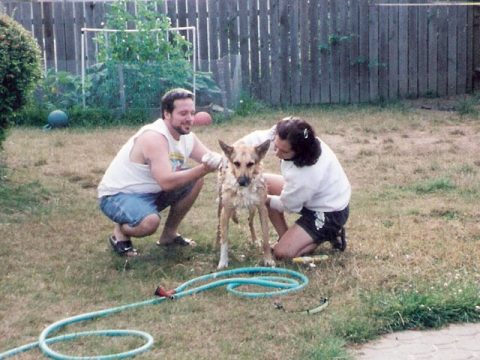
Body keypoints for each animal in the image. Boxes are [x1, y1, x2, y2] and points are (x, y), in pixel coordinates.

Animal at [217, 139, 274, 268]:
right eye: (236, 163)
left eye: (250, 164)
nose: (242, 181)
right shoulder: (225, 210)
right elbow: (224, 240)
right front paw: (223, 261)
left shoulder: (262, 209)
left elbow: (266, 238)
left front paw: (268, 259)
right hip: (220, 206)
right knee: (219, 228)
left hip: (252, 208)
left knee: (250, 221)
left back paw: (254, 239)